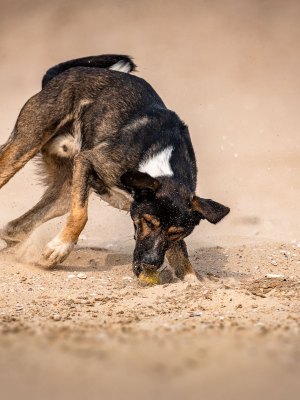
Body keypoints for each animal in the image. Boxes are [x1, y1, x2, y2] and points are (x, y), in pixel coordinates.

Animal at [0, 54, 230, 282]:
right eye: (148, 221)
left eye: (176, 232)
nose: (150, 263)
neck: (159, 163)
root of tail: (64, 74)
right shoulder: (88, 160)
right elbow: (81, 215)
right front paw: (60, 249)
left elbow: (182, 257)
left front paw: (193, 281)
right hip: (26, 145)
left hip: (65, 194)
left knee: (14, 228)